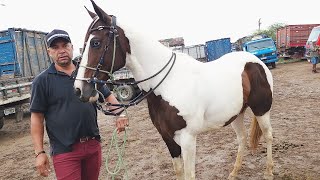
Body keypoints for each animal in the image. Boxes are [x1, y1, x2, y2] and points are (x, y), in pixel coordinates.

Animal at [74, 0, 274, 179]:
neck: (168, 84)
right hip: (236, 114)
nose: (78, 90)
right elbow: (179, 172)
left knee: (268, 135)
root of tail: (255, 61)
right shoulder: (168, 138)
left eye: (95, 43)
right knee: (242, 138)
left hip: (261, 110)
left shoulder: (188, 139)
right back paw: (233, 173)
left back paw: (268, 172)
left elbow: (189, 175)